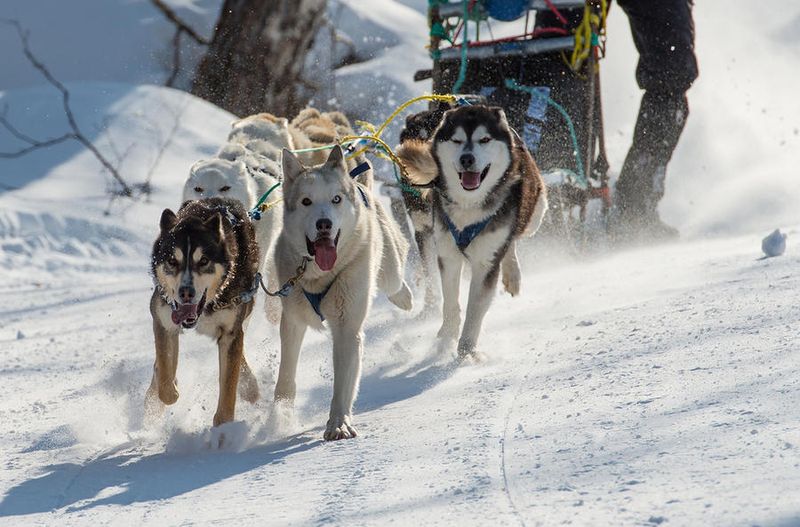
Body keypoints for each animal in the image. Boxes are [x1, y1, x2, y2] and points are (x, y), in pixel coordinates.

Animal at [147, 199, 262, 428]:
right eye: (172, 261)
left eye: (203, 261)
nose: (186, 292)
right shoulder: (164, 322)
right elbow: (165, 376)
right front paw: (168, 387)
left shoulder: (230, 333)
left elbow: (229, 385)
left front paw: (224, 426)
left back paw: (250, 386)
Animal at [276, 144, 412, 442]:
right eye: (306, 201)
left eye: (336, 199)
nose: (324, 224)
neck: (318, 276)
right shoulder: (291, 320)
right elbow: (286, 376)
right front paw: (278, 417)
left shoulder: (346, 327)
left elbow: (342, 385)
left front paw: (338, 424)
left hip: (389, 271)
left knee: (395, 280)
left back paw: (405, 298)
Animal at [396, 104, 548, 358]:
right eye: (457, 140)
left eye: (484, 139)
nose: (467, 158)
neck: (469, 205)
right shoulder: (446, 254)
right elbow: (449, 302)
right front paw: (446, 337)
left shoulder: (486, 263)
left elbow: (475, 308)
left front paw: (466, 350)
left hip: (534, 215)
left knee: (513, 238)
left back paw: (513, 274)